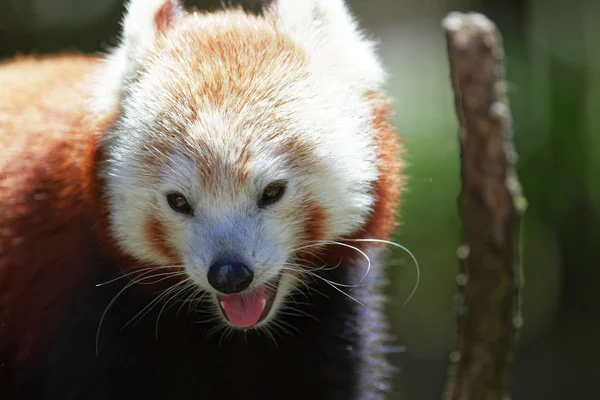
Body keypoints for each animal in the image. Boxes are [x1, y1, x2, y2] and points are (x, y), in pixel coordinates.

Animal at [1, 0, 404, 400]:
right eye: (179, 201)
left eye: (272, 192)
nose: (229, 275)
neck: (236, 335)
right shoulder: (90, 311)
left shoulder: (334, 318)